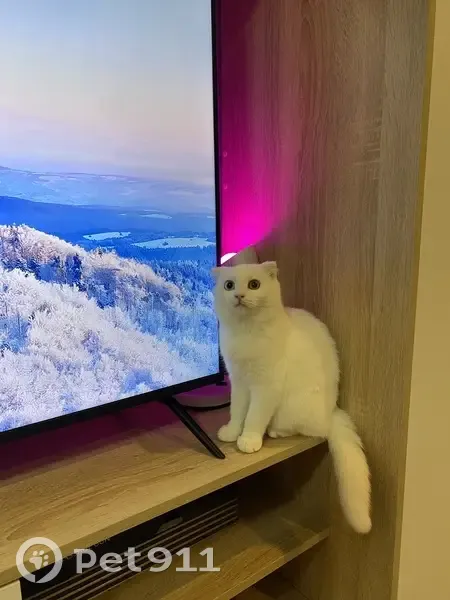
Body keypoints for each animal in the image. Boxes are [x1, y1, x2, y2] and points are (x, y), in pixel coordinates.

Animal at [212, 261, 371, 534]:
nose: (239, 295)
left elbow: (253, 418)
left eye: (254, 284)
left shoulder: (266, 387)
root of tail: (333, 411)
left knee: (312, 430)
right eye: (229, 285)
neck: (246, 333)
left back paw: (275, 432)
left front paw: (248, 440)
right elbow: (237, 411)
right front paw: (232, 432)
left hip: (294, 408)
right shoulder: (239, 382)